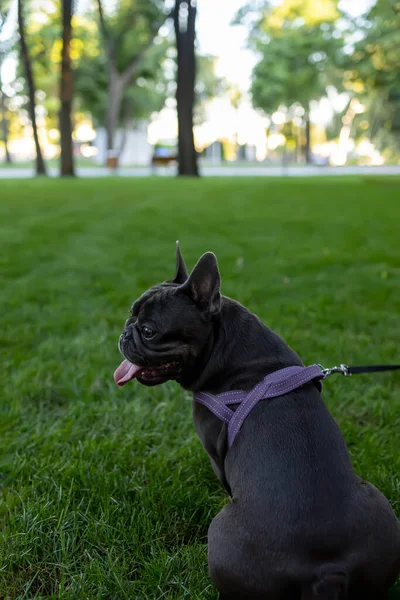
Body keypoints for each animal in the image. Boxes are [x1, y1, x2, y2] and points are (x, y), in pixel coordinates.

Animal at [114, 246, 400, 596]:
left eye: (149, 331)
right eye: (131, 315)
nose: (125, 332)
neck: (227, 348)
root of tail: (326, 572)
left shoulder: (215, 454)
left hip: (222, 532)